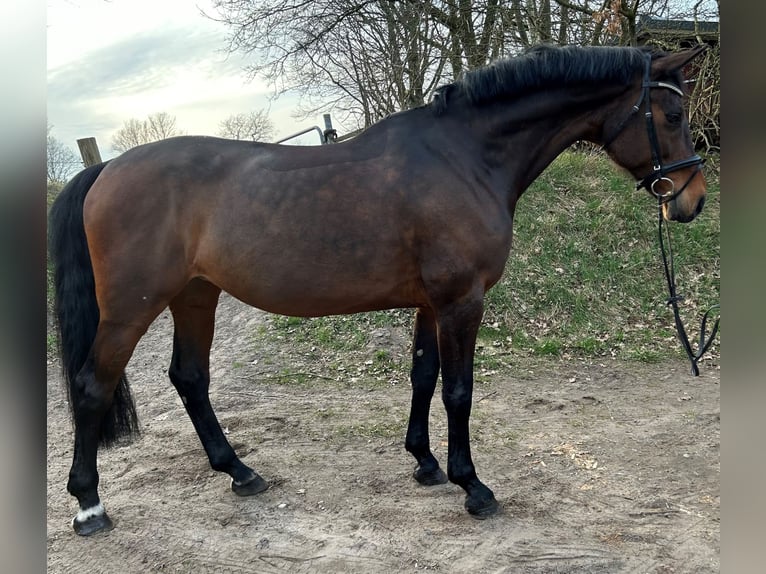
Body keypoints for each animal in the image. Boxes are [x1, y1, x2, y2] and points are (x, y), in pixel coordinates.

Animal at [48, 44, 708, 536]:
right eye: (673, 117)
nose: (692, 201)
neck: (464, 157)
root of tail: (106, 169)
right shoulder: (462, 300)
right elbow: (459, 391)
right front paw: (473, 486)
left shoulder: (429, 303)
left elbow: (423, 375)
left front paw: (426, 463)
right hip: (131, 309)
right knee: (92, 386)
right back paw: (89, 506)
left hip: (194, 295)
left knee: (189, 378)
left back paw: (240, 472)